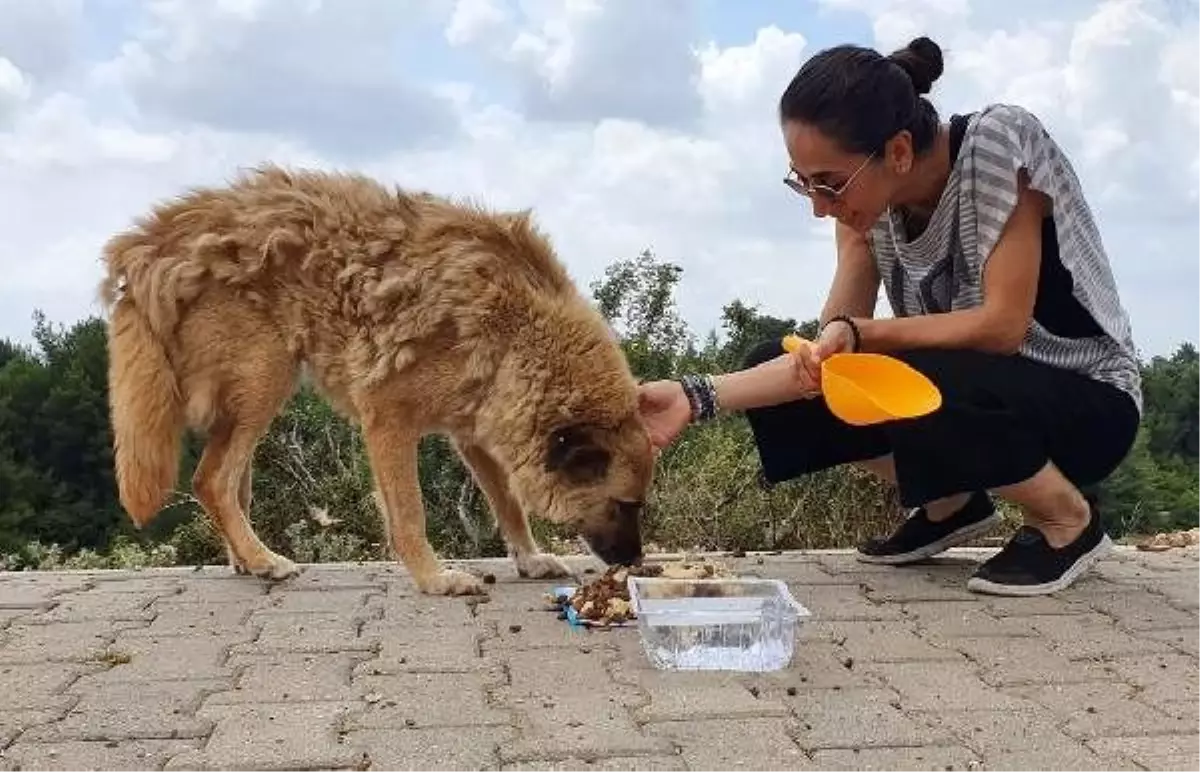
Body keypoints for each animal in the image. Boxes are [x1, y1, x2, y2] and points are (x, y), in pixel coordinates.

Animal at [100, 164, 657, 597]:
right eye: (624, 504)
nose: (634, 563)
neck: (515, 332)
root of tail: (150, 246)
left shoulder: (475, 430)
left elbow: (508, 503)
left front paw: (529, 558)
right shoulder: (388, 419)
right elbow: (410, 514)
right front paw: (435, 579)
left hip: (250, 393)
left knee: (232, 485)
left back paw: (245, 558)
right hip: (267, 377)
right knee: (211, 480)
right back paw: (264, 560)